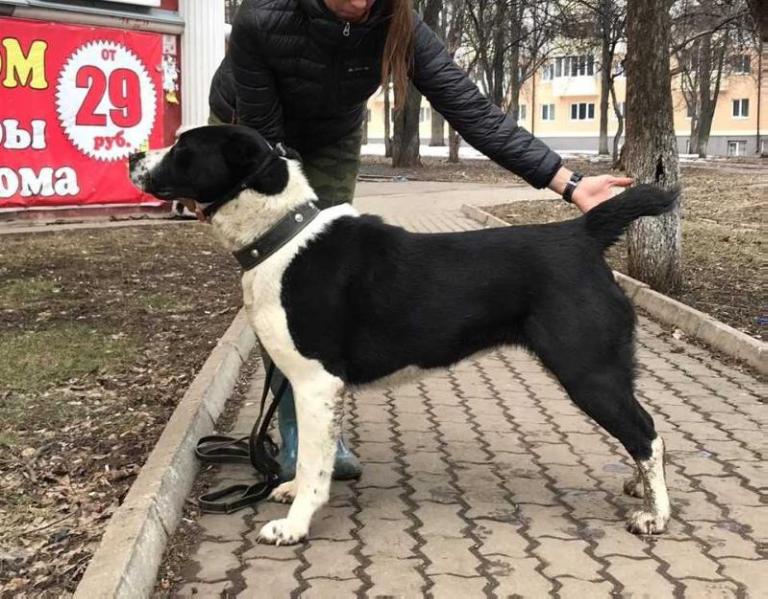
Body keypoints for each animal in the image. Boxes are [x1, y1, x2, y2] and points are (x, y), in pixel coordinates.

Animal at [129, 125, 676, 544]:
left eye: (183, 148)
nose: (134, 155)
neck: (282, 236)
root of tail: (582, 233)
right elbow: (310, 458)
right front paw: (288, 493)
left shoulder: (314, 381)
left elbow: (314, 464)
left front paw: (294, 524)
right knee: (641, 432)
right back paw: (639, 487)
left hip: (588, 370)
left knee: (648, 432)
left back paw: (656, 514)